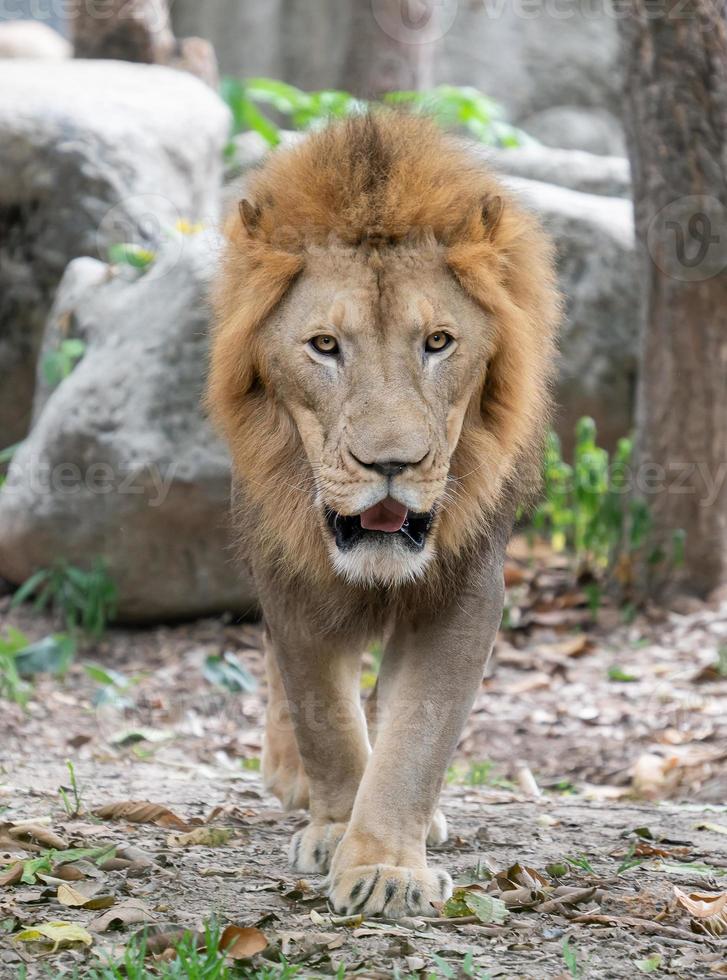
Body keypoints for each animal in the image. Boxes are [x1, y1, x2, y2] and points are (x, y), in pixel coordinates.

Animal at [208, 115, 560, 920]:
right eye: (324, 346)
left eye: (438, 342)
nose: (391, 463)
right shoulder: (288, 578)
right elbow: (325, 718)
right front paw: (336, 830)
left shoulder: (463, 591)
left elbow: (417, 734)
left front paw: (386, 866)